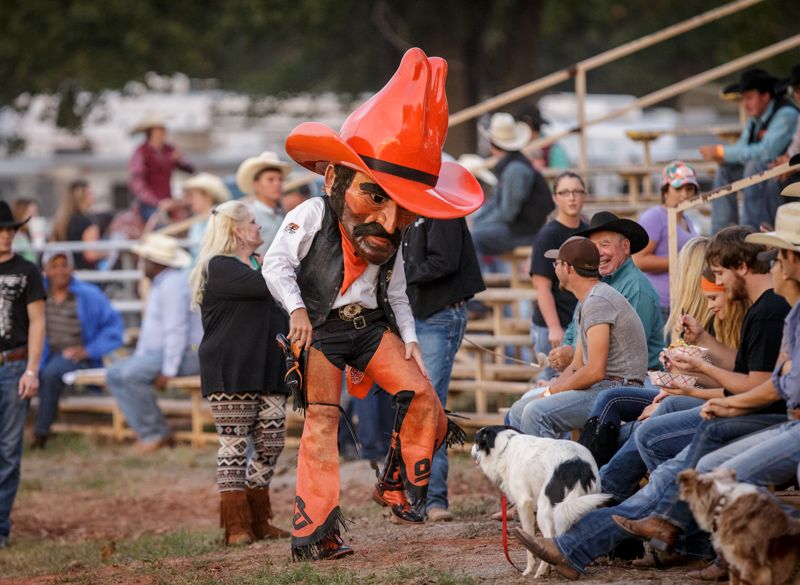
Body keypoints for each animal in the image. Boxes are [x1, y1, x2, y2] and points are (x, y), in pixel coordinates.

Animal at [472, 424, 608, 576]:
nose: (471, 449)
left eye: (476, 441)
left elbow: (529, 539)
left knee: (550, 537)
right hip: (579, 506)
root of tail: (577, 466)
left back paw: (541, 570)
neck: (505, 446)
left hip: (545, 510)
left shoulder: (524, 503)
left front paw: (529, 569)